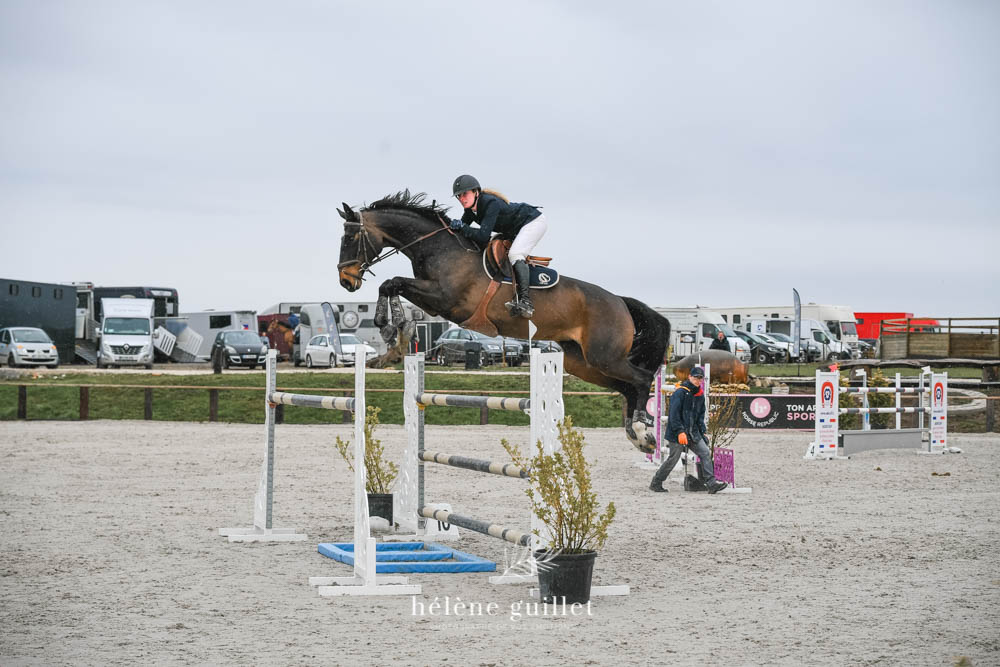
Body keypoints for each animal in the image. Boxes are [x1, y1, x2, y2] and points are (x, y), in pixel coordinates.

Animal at [336, 190, 672, 452]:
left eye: (350, 237)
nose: (345, 281)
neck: (439, 248)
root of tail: (620, 302)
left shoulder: (448, 300)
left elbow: (392, 282)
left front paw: (386, 323)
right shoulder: (434, 301)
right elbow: (392, 286)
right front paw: (394, 332)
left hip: (605, 356)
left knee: (641, 379)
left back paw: (641, 430)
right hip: (585, 362)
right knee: (627, 387)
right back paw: (638, 437)